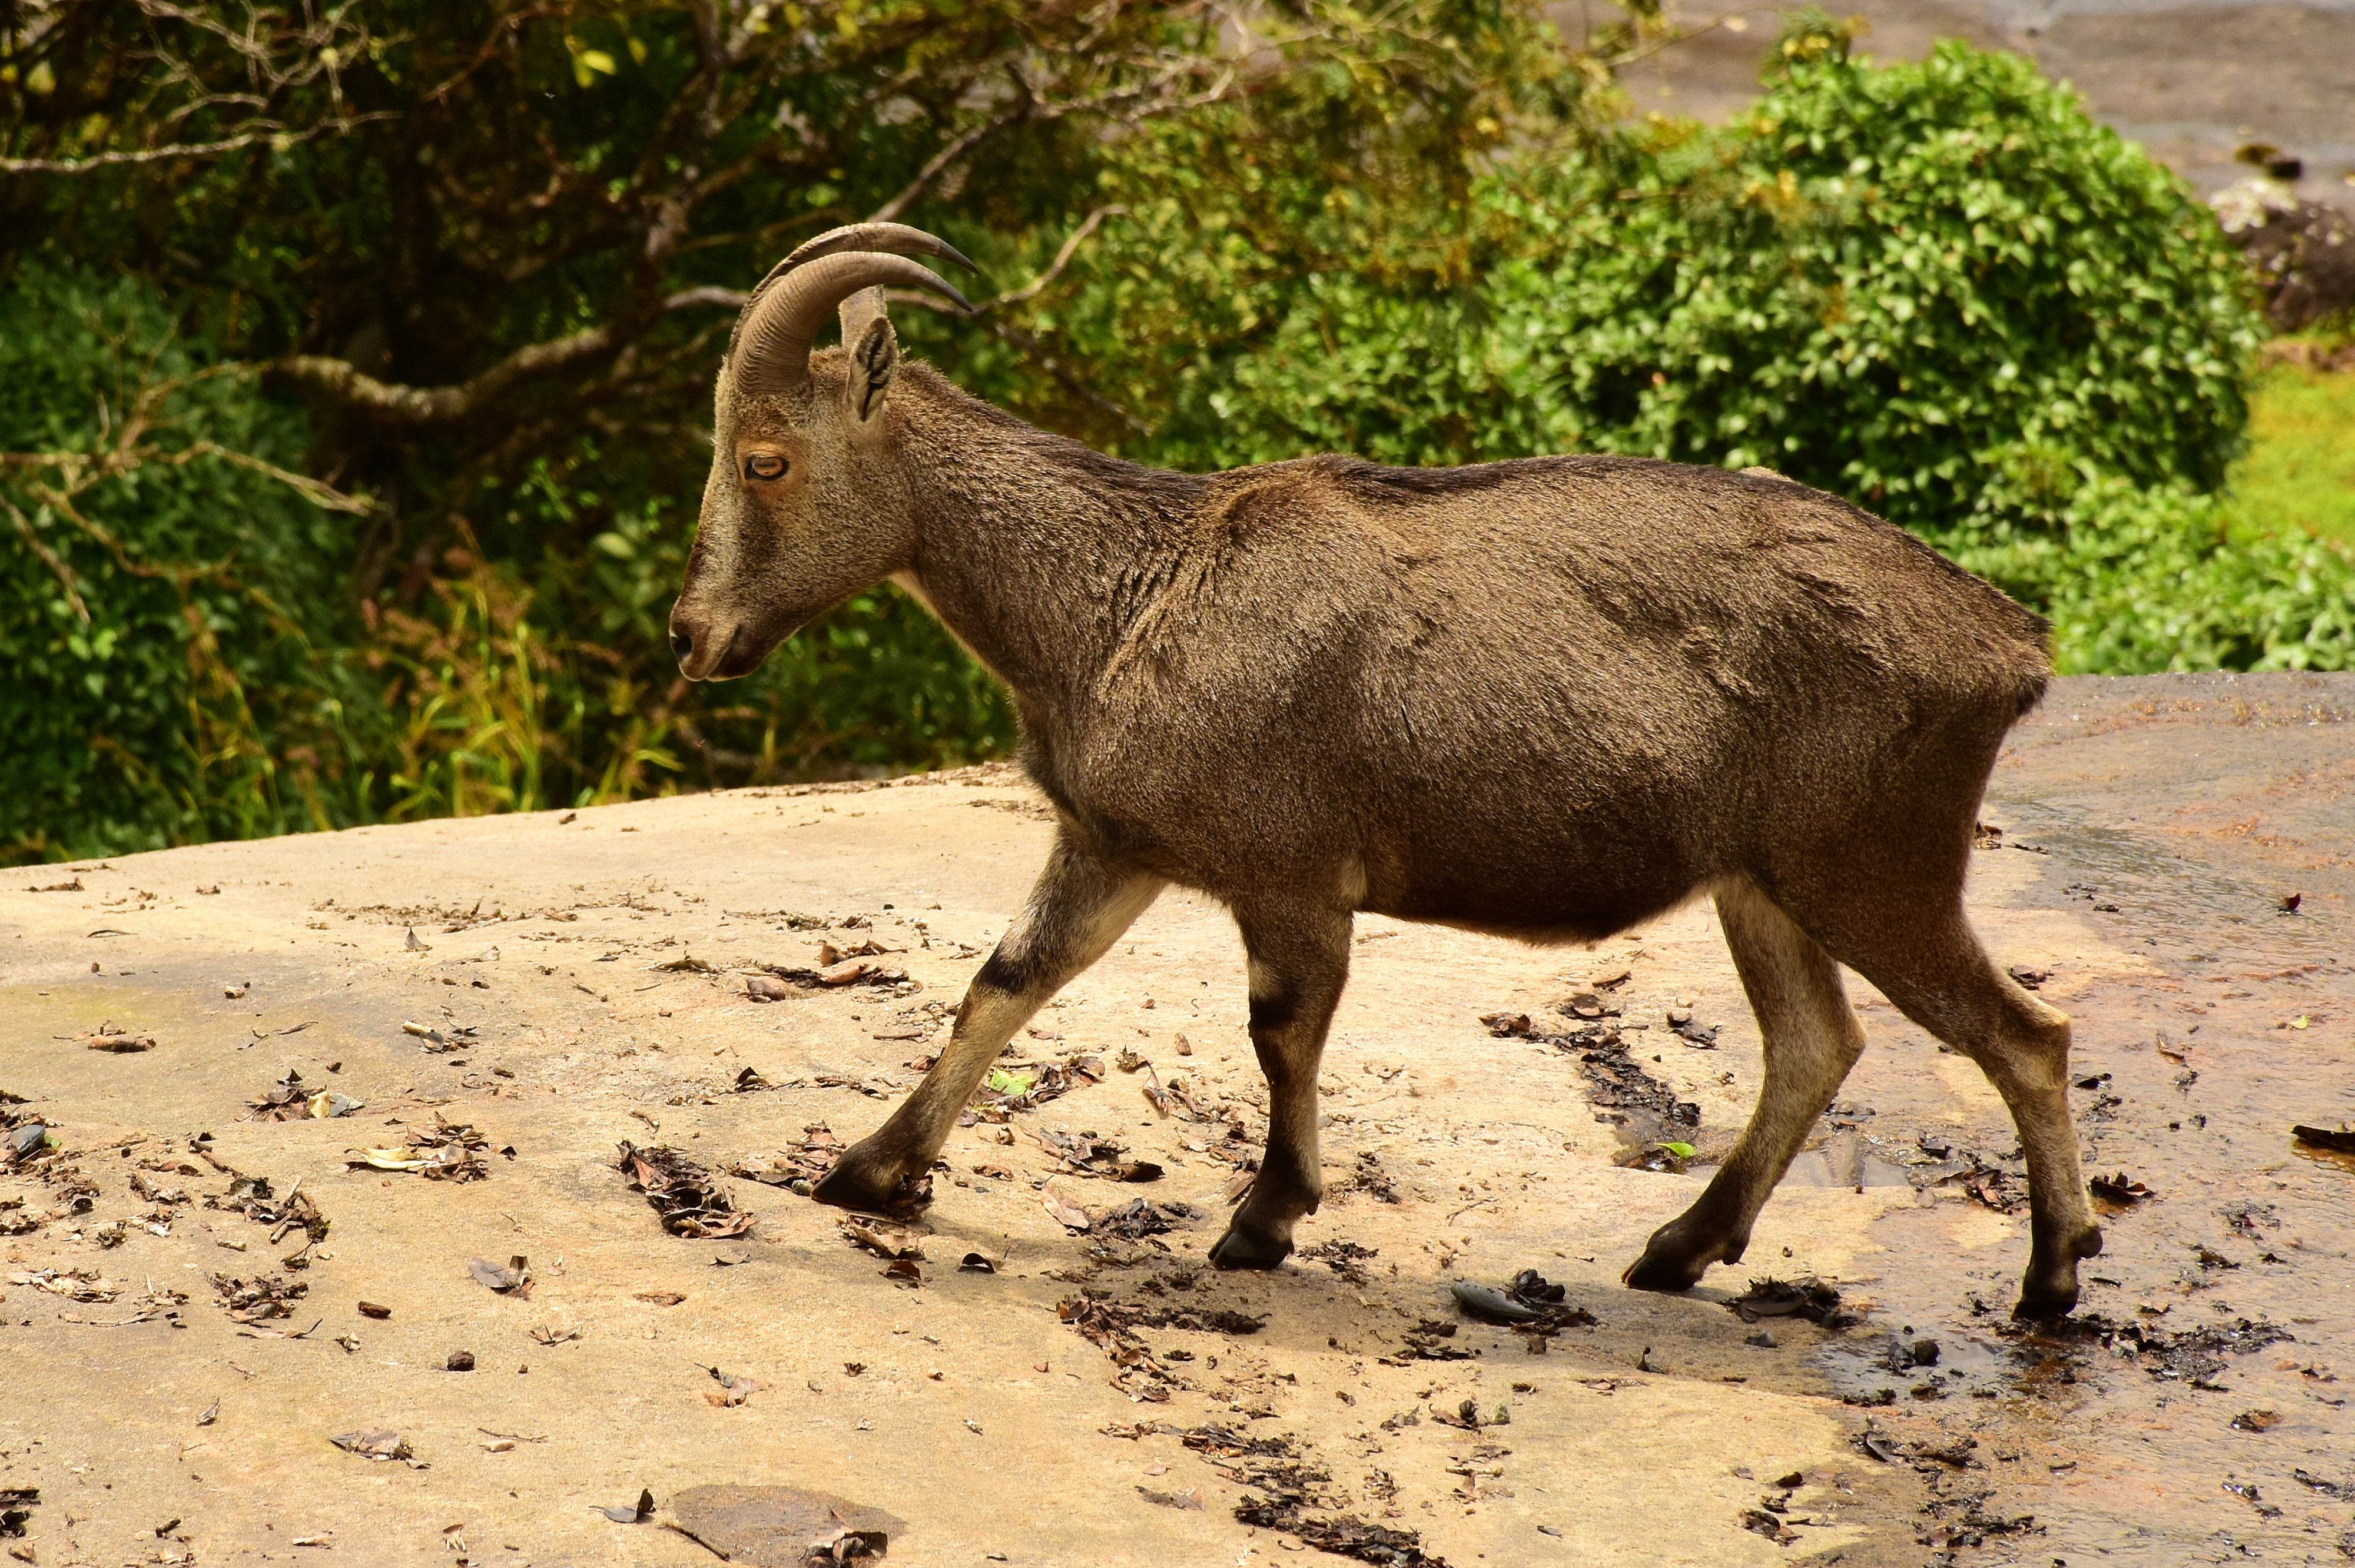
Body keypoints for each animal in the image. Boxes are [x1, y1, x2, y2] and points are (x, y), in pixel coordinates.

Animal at [674, 222, 2110, 1318]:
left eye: (764, 457)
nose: (693, 636)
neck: (1120, 593)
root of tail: (2009, 642)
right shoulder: (1115, 847)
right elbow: (1006, 981)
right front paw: (869, 1167)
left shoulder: (1289, 872)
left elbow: (1279, 1030)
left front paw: (1261, 1220)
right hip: (1760, 882)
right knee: (1816, 1043)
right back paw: (1676, 1250)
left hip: (1872, 863)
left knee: (2024, 1035)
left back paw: (2050, 1280)